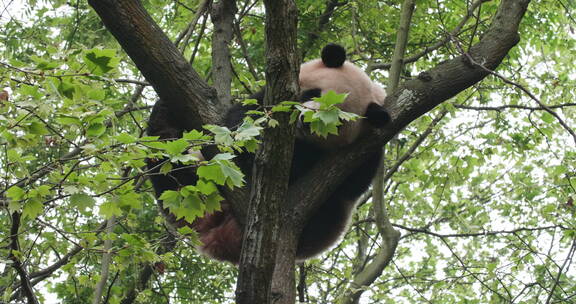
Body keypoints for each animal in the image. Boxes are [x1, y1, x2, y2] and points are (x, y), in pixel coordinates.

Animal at [147, 43, 392, 264]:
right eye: (314, 94)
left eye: (336, 120)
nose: (304, 121)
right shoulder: (267, 99)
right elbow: (244, 118)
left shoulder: (363, 154)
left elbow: (341, 180)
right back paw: (164, 118)